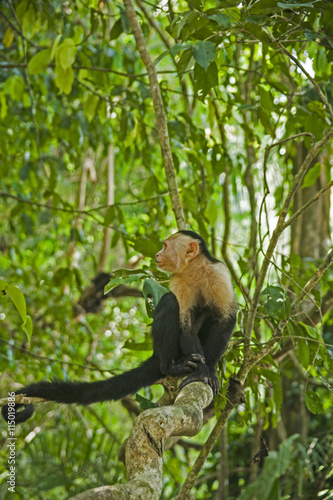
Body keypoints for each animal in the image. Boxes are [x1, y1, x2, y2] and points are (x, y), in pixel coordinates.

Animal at [1, 229, 237, 424]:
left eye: (165, 246)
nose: (157, 255)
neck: (194, 269)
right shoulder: (179, 280)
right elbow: (184, 323)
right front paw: (203, 370)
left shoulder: (219, 273)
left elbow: (226, 319)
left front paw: (209, 369)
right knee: (170, 302)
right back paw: (169, 367)